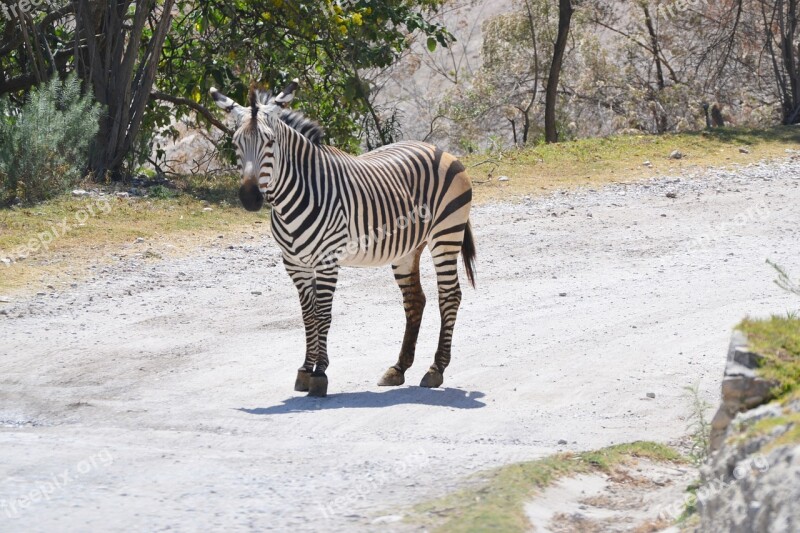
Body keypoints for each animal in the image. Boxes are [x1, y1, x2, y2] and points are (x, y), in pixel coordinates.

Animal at [209, 79, 478, 394]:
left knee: (449, 295)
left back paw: (436, 369)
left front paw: (319, 374)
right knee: (415, 300)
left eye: (270, 142)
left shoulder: (327, 261)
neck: (293, 196)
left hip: (446, 233)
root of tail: (438, 149)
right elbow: (308, 315)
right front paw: (305, 370)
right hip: (407, 249)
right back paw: (398, 368)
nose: (250, 198)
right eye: (237, 143)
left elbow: (323, 314)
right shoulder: (295, 264)